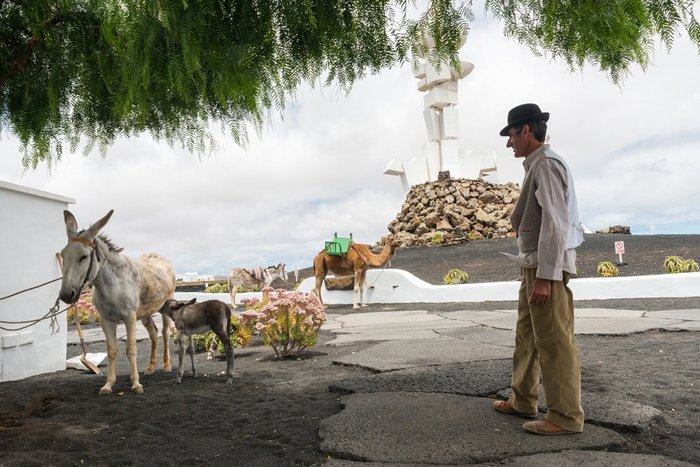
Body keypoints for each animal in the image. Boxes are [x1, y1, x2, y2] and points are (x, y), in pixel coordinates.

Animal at [58, 210, 176, 396]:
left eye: (83, 256)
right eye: (62, 255)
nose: (65, 295)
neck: (111, 285)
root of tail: (159, 257)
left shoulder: (129, 317)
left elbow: (131, 349)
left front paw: (136, 384)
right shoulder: (106, 320)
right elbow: (112, 351)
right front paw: (108, 385)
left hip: (166, 307)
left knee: (164, 333)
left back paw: (166, 365)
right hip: (145, 313)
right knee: (153, 333)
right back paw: (150, 367)